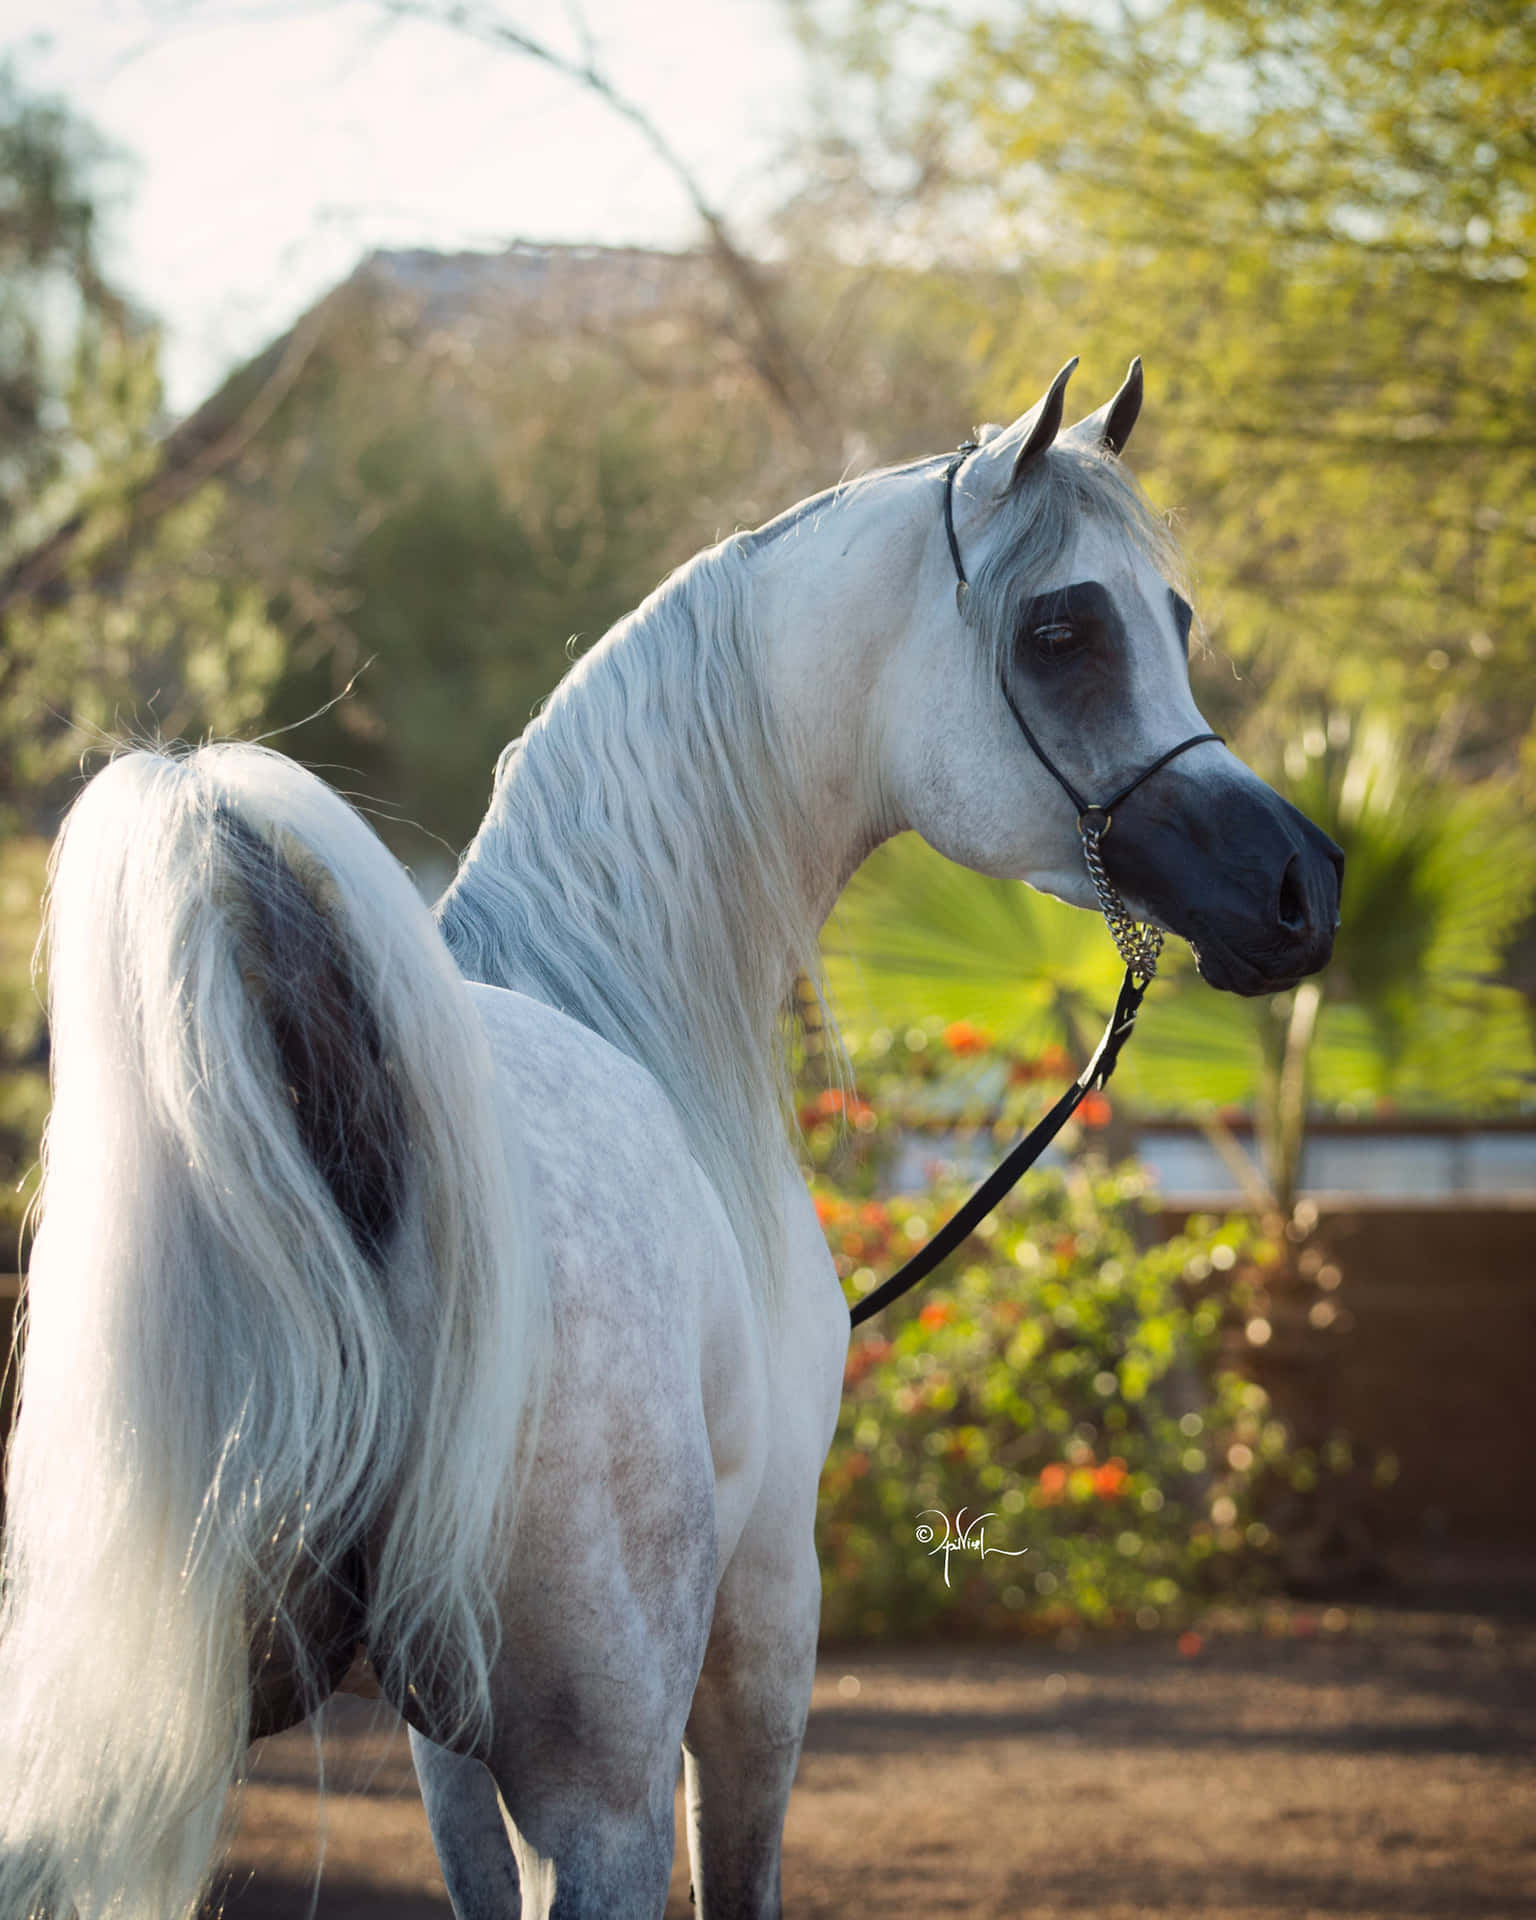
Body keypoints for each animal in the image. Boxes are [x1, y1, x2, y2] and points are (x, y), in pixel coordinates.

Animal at [0, 357, 1341, 1920]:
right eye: (1061, 630)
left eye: (1174, 621)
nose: (1302, 886)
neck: (617, 997)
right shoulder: (763, 1630)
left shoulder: (447, 1759)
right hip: (611, 1781)